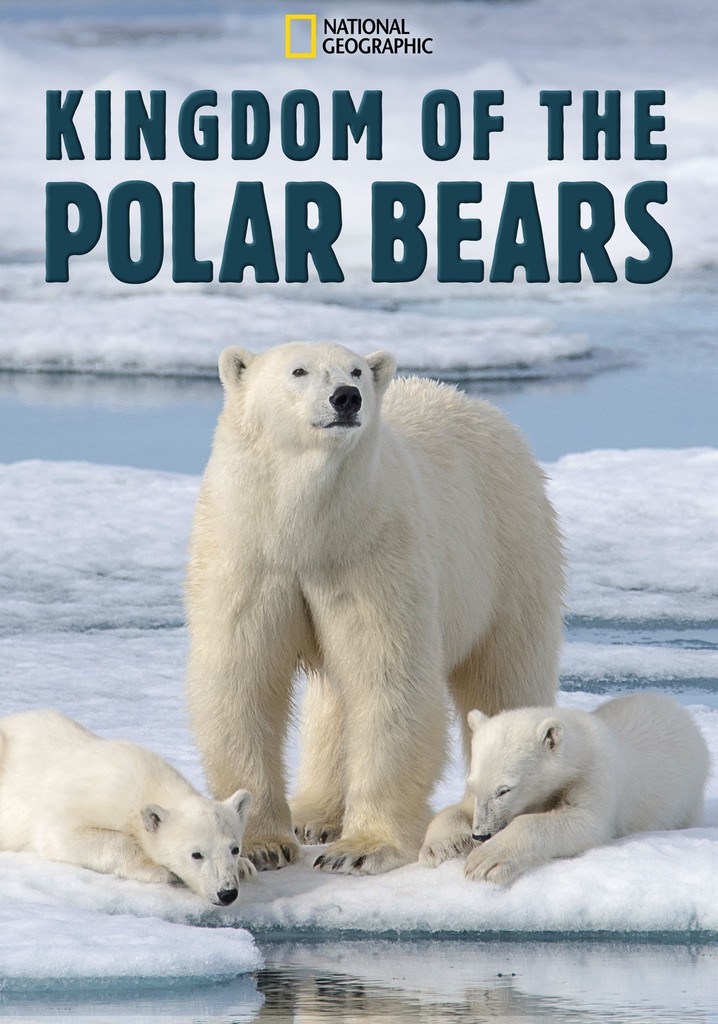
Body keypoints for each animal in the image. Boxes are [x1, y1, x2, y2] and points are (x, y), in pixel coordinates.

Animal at [0, 709, 253, 905]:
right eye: (196, 854)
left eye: (234, 848)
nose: (227, 893)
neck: (148, 782)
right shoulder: (98, 798)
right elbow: (60, 834)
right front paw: (160, 870)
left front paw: (245, 867)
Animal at [185, 341, 564, 875]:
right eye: (298, 370)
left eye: (357, 370)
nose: (347, 397)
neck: (308, 532)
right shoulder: (250, 559)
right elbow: (243, 679)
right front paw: (262, 846)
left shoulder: (373, 553)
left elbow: (387, 679)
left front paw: (360, 849)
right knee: (333, 703)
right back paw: (315, 815)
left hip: (510, 548)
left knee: (504, 672)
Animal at [428, 693, 710, 886]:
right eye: (473, 786)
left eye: (504, 790)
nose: (481, 834)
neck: (578, 750)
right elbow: (457, 809)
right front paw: (442, 846)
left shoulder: (596, 775)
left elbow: (585, 822)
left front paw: (486, 860)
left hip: (688, 796)